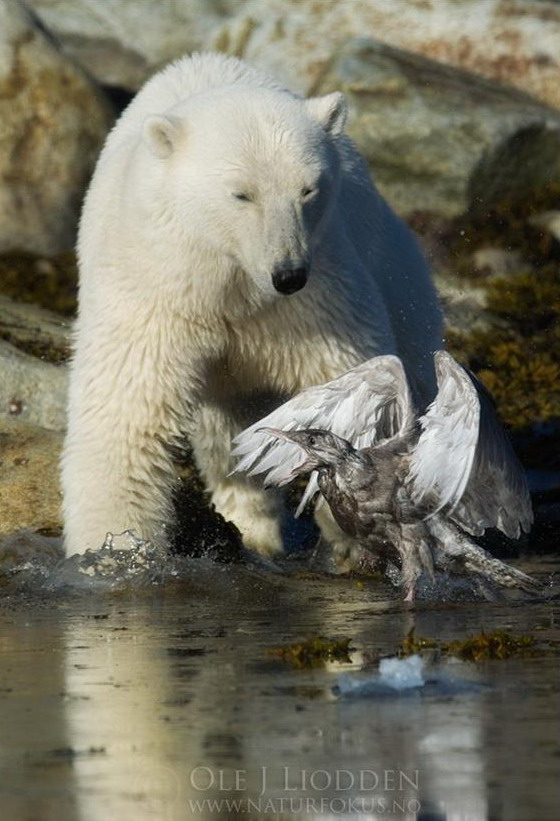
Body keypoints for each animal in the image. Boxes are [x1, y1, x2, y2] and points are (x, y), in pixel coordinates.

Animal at [61, 51, 444, 556]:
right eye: (241, 194)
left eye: (308, 189)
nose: (288, 273)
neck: (235, 278)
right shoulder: (156, 284)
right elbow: (127, 413)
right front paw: (114, 550)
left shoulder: (321, 293)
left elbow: (348, 387)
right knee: (225, 437)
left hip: (397, 271)